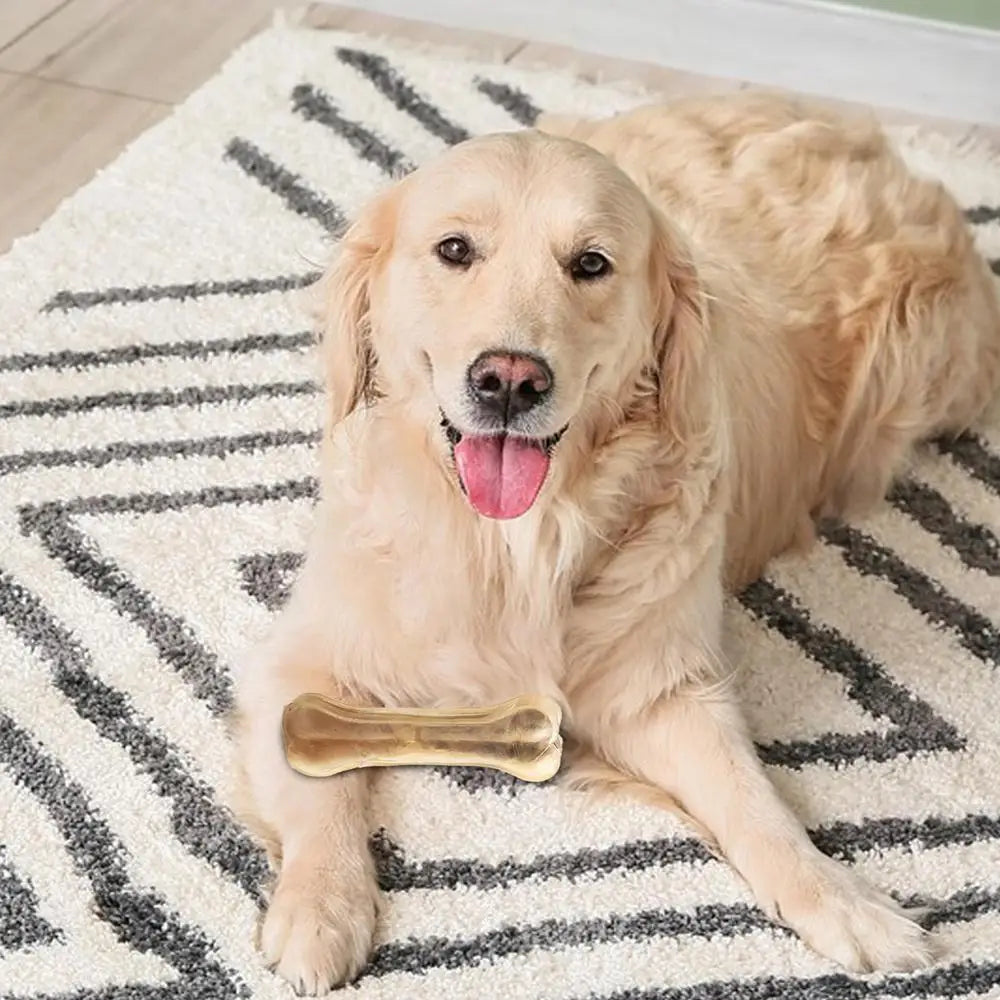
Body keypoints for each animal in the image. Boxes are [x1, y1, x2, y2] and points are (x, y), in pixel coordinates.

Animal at [234, 92, 1000, 992]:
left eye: (591, 264)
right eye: (454, 250)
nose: (509, 380)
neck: (512, 544)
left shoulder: (666, 692)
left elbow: (755, 804)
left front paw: (844, 904)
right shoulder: (299, 660)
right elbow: (319, 790)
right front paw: (321, 910)